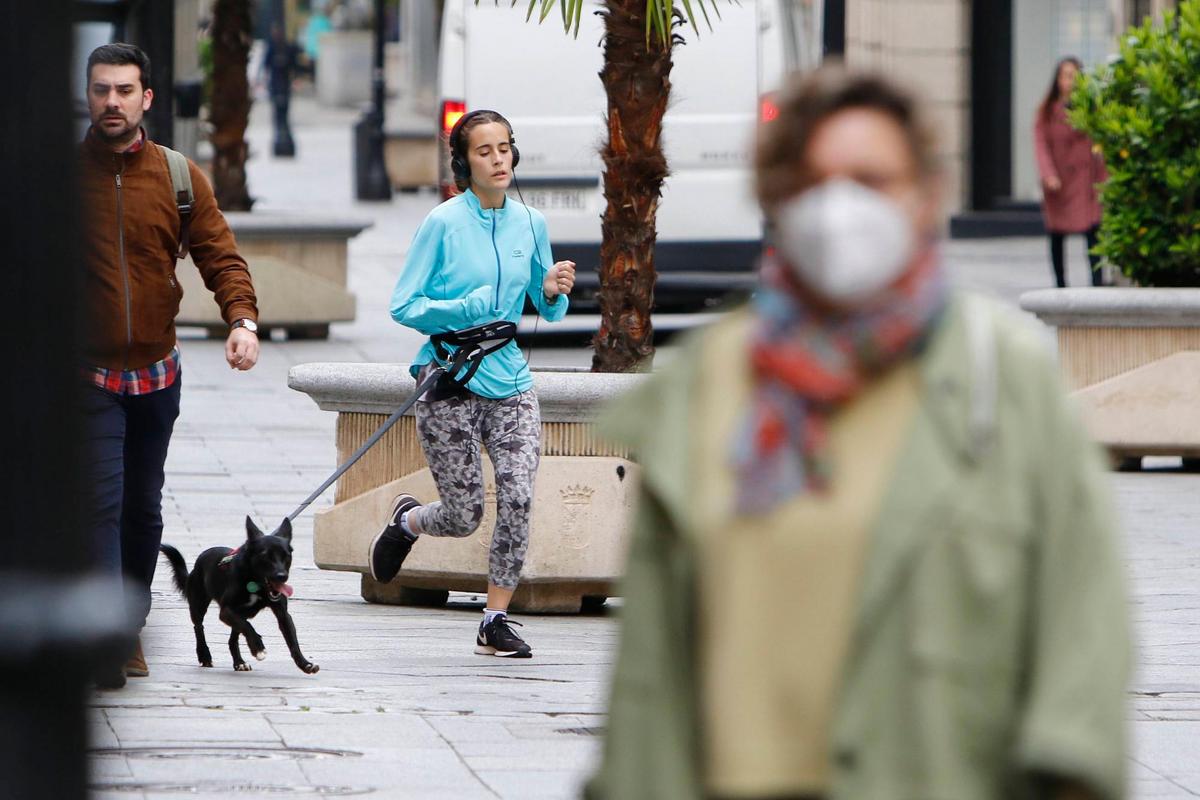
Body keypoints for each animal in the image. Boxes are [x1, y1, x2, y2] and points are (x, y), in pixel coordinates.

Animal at [159, 515, 319, 671]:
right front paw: (257, 648)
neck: (255, 582)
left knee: (233, 637)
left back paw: (239, 662)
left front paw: (305, 664)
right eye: (266, 556)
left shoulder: (283, 614)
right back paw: (204, 656)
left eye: (287, 556)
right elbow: (247, 627)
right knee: (199, 627)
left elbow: (292, 641)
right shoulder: (226, 611)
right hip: (199, 605)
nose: (282, 576)